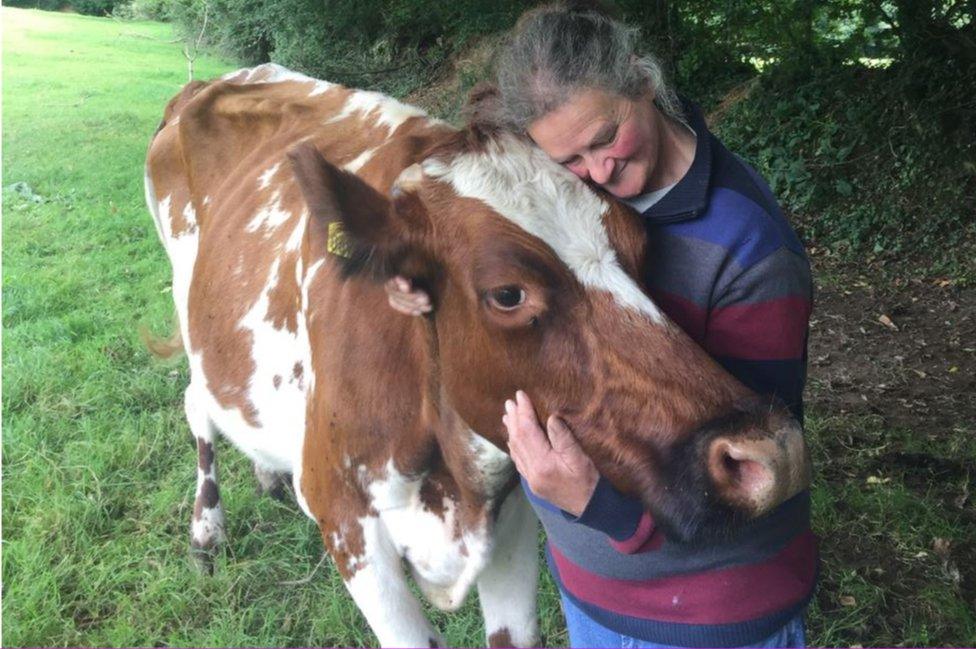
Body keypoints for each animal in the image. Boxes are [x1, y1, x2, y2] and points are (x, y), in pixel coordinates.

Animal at [145, 66, 812, 648]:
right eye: (508, 294)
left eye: (642, 246)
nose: (766, 452)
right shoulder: (347, 520)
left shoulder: (510, 514)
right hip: (184, 295)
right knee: (195, 403)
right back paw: (206, 530)